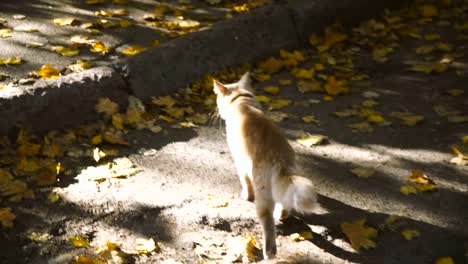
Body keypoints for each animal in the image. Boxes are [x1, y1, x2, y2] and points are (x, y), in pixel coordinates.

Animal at [213, 72, 316, 260]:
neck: (242, 101)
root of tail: (279, 158)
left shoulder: (240, 161)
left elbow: (245, 181)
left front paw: (246, 195)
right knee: (285, 203)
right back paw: (282, 216)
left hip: (263, 193)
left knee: (267, 220)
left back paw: (269, 251)